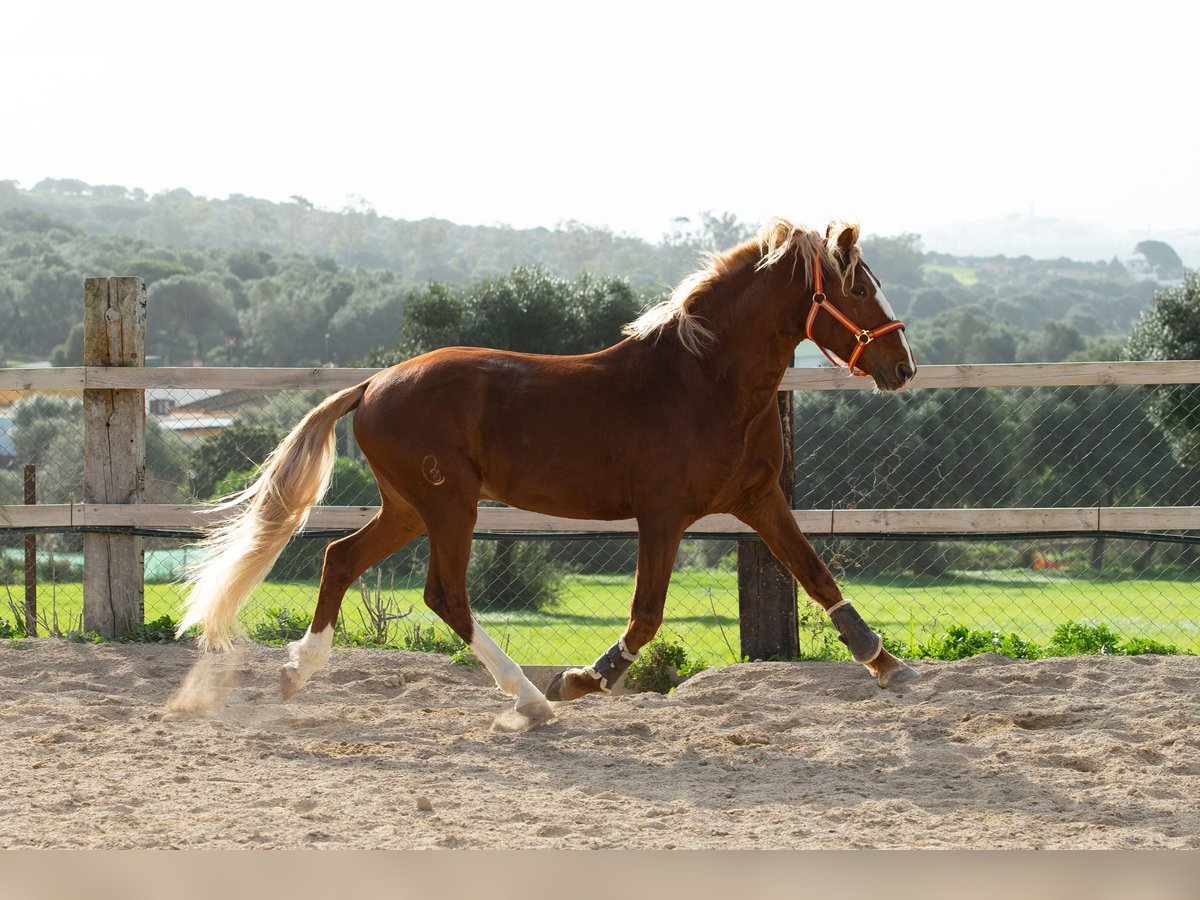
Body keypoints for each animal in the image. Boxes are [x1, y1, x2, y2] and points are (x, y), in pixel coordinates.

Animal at [177, 218, 916, 724]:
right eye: (857, 287)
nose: (902, 366)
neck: (707, 380)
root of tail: (372, 385)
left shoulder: (759, 499)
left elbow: (816, 575)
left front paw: (887, 664)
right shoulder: (663, 515)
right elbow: (646, 614)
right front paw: (584, 680)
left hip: (410, 507)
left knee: (340, 559)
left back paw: (297, 673)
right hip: (449, 506)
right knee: (444, 596)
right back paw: (533, 699)